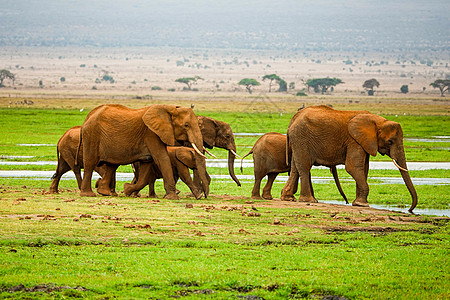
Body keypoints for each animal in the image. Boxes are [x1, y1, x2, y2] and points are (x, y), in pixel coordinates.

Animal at [78, 103, 208, 199]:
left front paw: (127, 190)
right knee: (90, 163)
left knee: (112, 165)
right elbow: (162, 158)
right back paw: (88, 194)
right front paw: (172, 197)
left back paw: (104, 193)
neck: (169, 108)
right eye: (186, 125)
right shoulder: (151, 133)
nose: (205, 195)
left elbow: (147, 166)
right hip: (92, 134)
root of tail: (88, 116)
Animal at [282, 105, 418, 213]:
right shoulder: (354, 140)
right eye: (390, 142)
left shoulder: (364, 142)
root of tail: (293, 119)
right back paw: (310, 200)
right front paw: (362, 204)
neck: (378, 120)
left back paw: (288, 198)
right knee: (304, 167)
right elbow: (352, 167)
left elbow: (364, 168)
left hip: (297, 140)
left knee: (295, 167)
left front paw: (357, 202)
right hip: (301, 138)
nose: (410, 209)